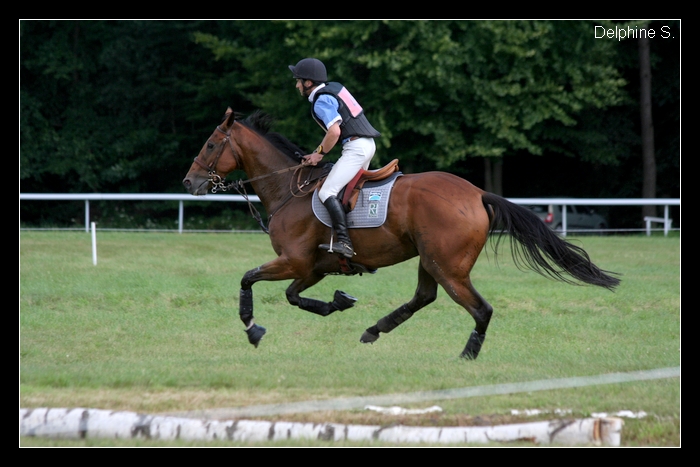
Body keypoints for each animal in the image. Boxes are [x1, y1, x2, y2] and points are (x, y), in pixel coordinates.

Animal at [183, 109, 620, 358]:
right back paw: (374, 330)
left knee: (481, 309)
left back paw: (467, 355)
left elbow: (248, 279)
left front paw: (252, 329)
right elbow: (294, 296)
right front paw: (339, 302)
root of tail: (477, 193)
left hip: (448, 267)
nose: (189, 182)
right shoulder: (312, 266)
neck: (288, 189)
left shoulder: (293, 261)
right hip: (430, 259)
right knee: (424, 297)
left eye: (210, 145)